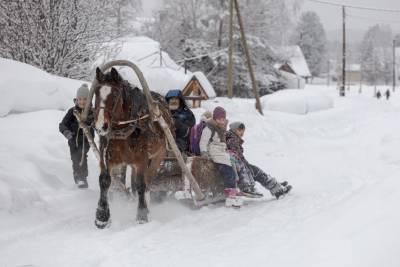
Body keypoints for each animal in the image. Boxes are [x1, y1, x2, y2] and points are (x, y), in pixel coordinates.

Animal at [91, 67, 174, 228]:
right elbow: (105, 181)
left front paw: (142, 215)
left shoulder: (141, 160)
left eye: (114, 94)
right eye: (96, 93)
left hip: (158, 156)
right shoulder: (108, 157)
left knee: (147, 182)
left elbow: (141, 185)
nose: (101, 126)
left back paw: (146, 205)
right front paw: (102, 217)